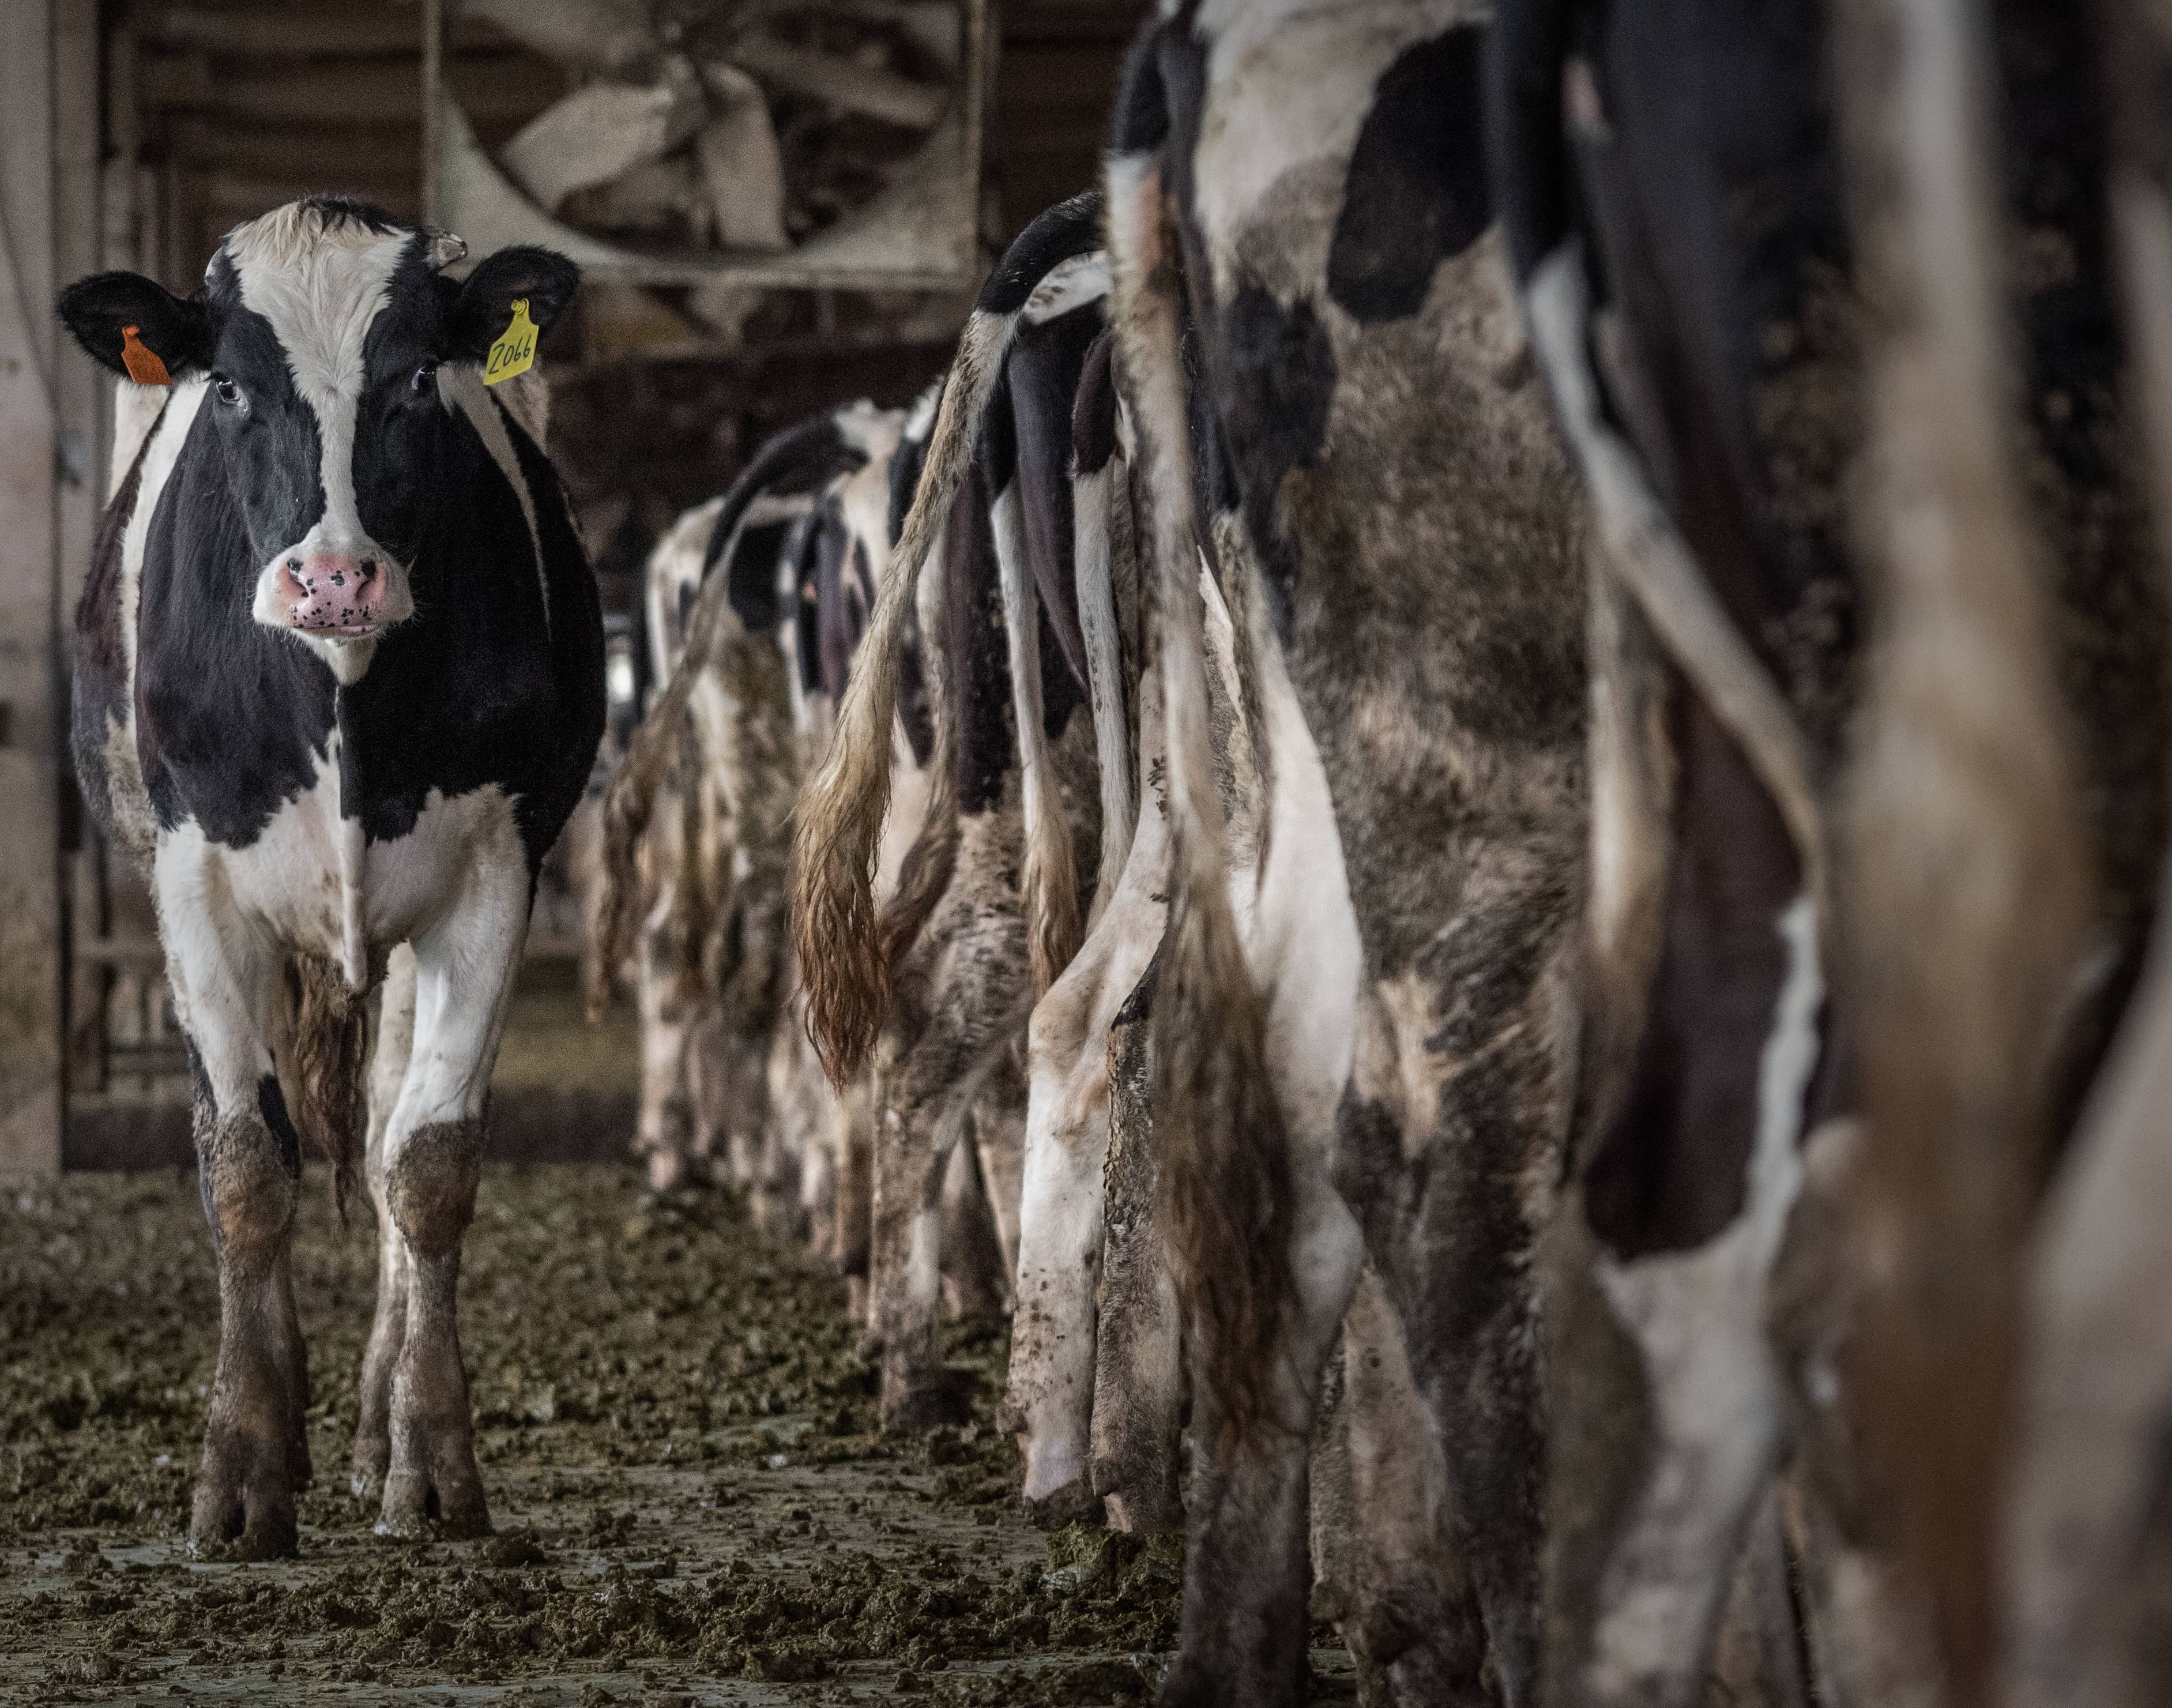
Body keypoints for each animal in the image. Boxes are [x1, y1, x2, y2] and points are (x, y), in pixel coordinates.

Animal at [62, 193, 604, 1547]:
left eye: (417, 377)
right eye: (230, 390)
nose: (334, 577)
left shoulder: (494, 873)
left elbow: (428, 1161)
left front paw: (431, 1460)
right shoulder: (195, 881)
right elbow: (246, 1165)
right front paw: (241, 1467)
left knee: (382, 1126)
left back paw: (363, 1426)